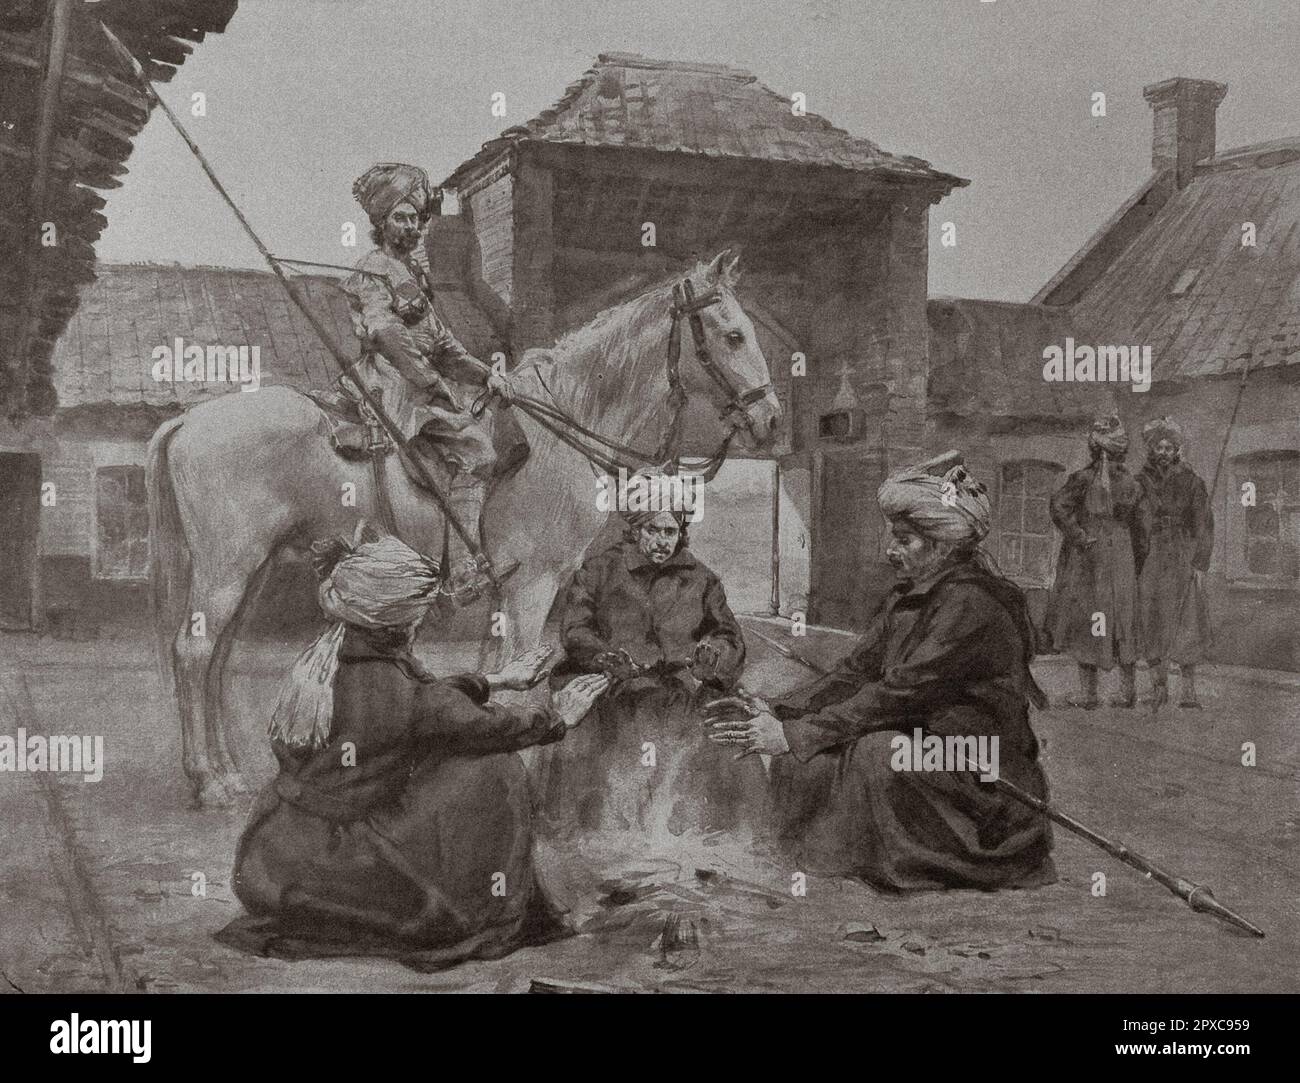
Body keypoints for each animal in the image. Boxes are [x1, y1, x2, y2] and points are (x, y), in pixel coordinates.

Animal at [152, 250, 780, 800]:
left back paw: (228, 771)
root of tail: (188, 420)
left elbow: (494, 671)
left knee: (218, 657)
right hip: (227, 568)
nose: (770, 419)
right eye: (733, 335)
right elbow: (520, 675)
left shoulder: (510, 590)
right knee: (193, 653)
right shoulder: (534, 586)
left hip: (251, 570)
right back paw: (208, 781)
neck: (557, 434)